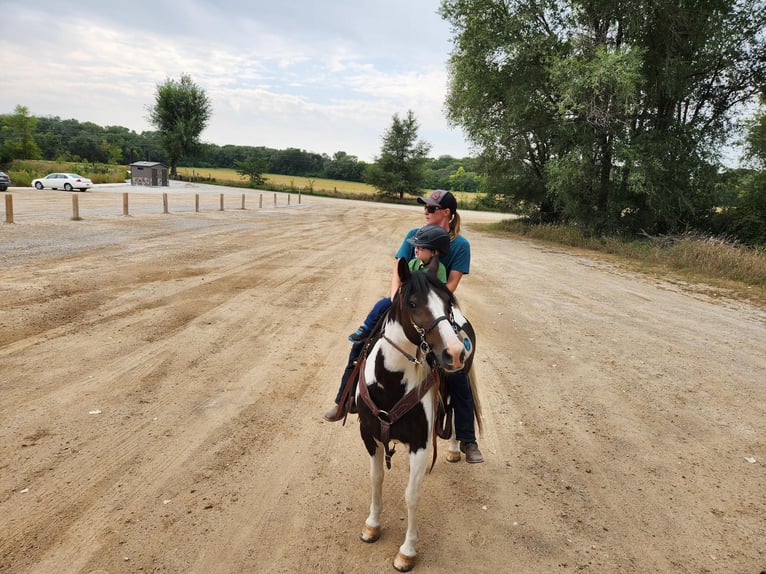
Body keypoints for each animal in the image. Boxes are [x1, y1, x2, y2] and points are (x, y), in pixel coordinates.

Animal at [354, 258, 474, 572]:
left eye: (447, 302)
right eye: (412, 303)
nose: (454, 353)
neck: (391, 383)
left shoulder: (419, 445)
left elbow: (411, 495)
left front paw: (407, 551)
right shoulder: (369, 437)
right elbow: (376, 479)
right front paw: (372, 526)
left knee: (457, 414)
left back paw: (457, 449)